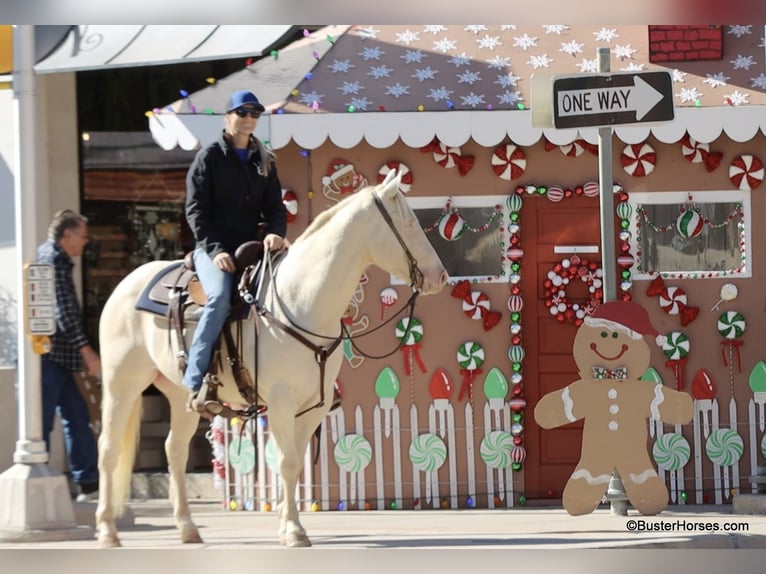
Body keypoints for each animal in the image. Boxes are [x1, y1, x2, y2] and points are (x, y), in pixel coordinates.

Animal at [94, 170, 450, 548]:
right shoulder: (280, 400)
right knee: (108, 449)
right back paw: (107, 531)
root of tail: (127, 283)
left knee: (174, 451)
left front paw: (288, 524)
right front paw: (293, 530)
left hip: (179, 394)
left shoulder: (314, 406)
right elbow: (288, 461)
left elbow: (294, 464)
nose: (440, 276)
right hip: (122, 385)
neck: (300, 301)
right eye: (409, 222)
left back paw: (187, 528)